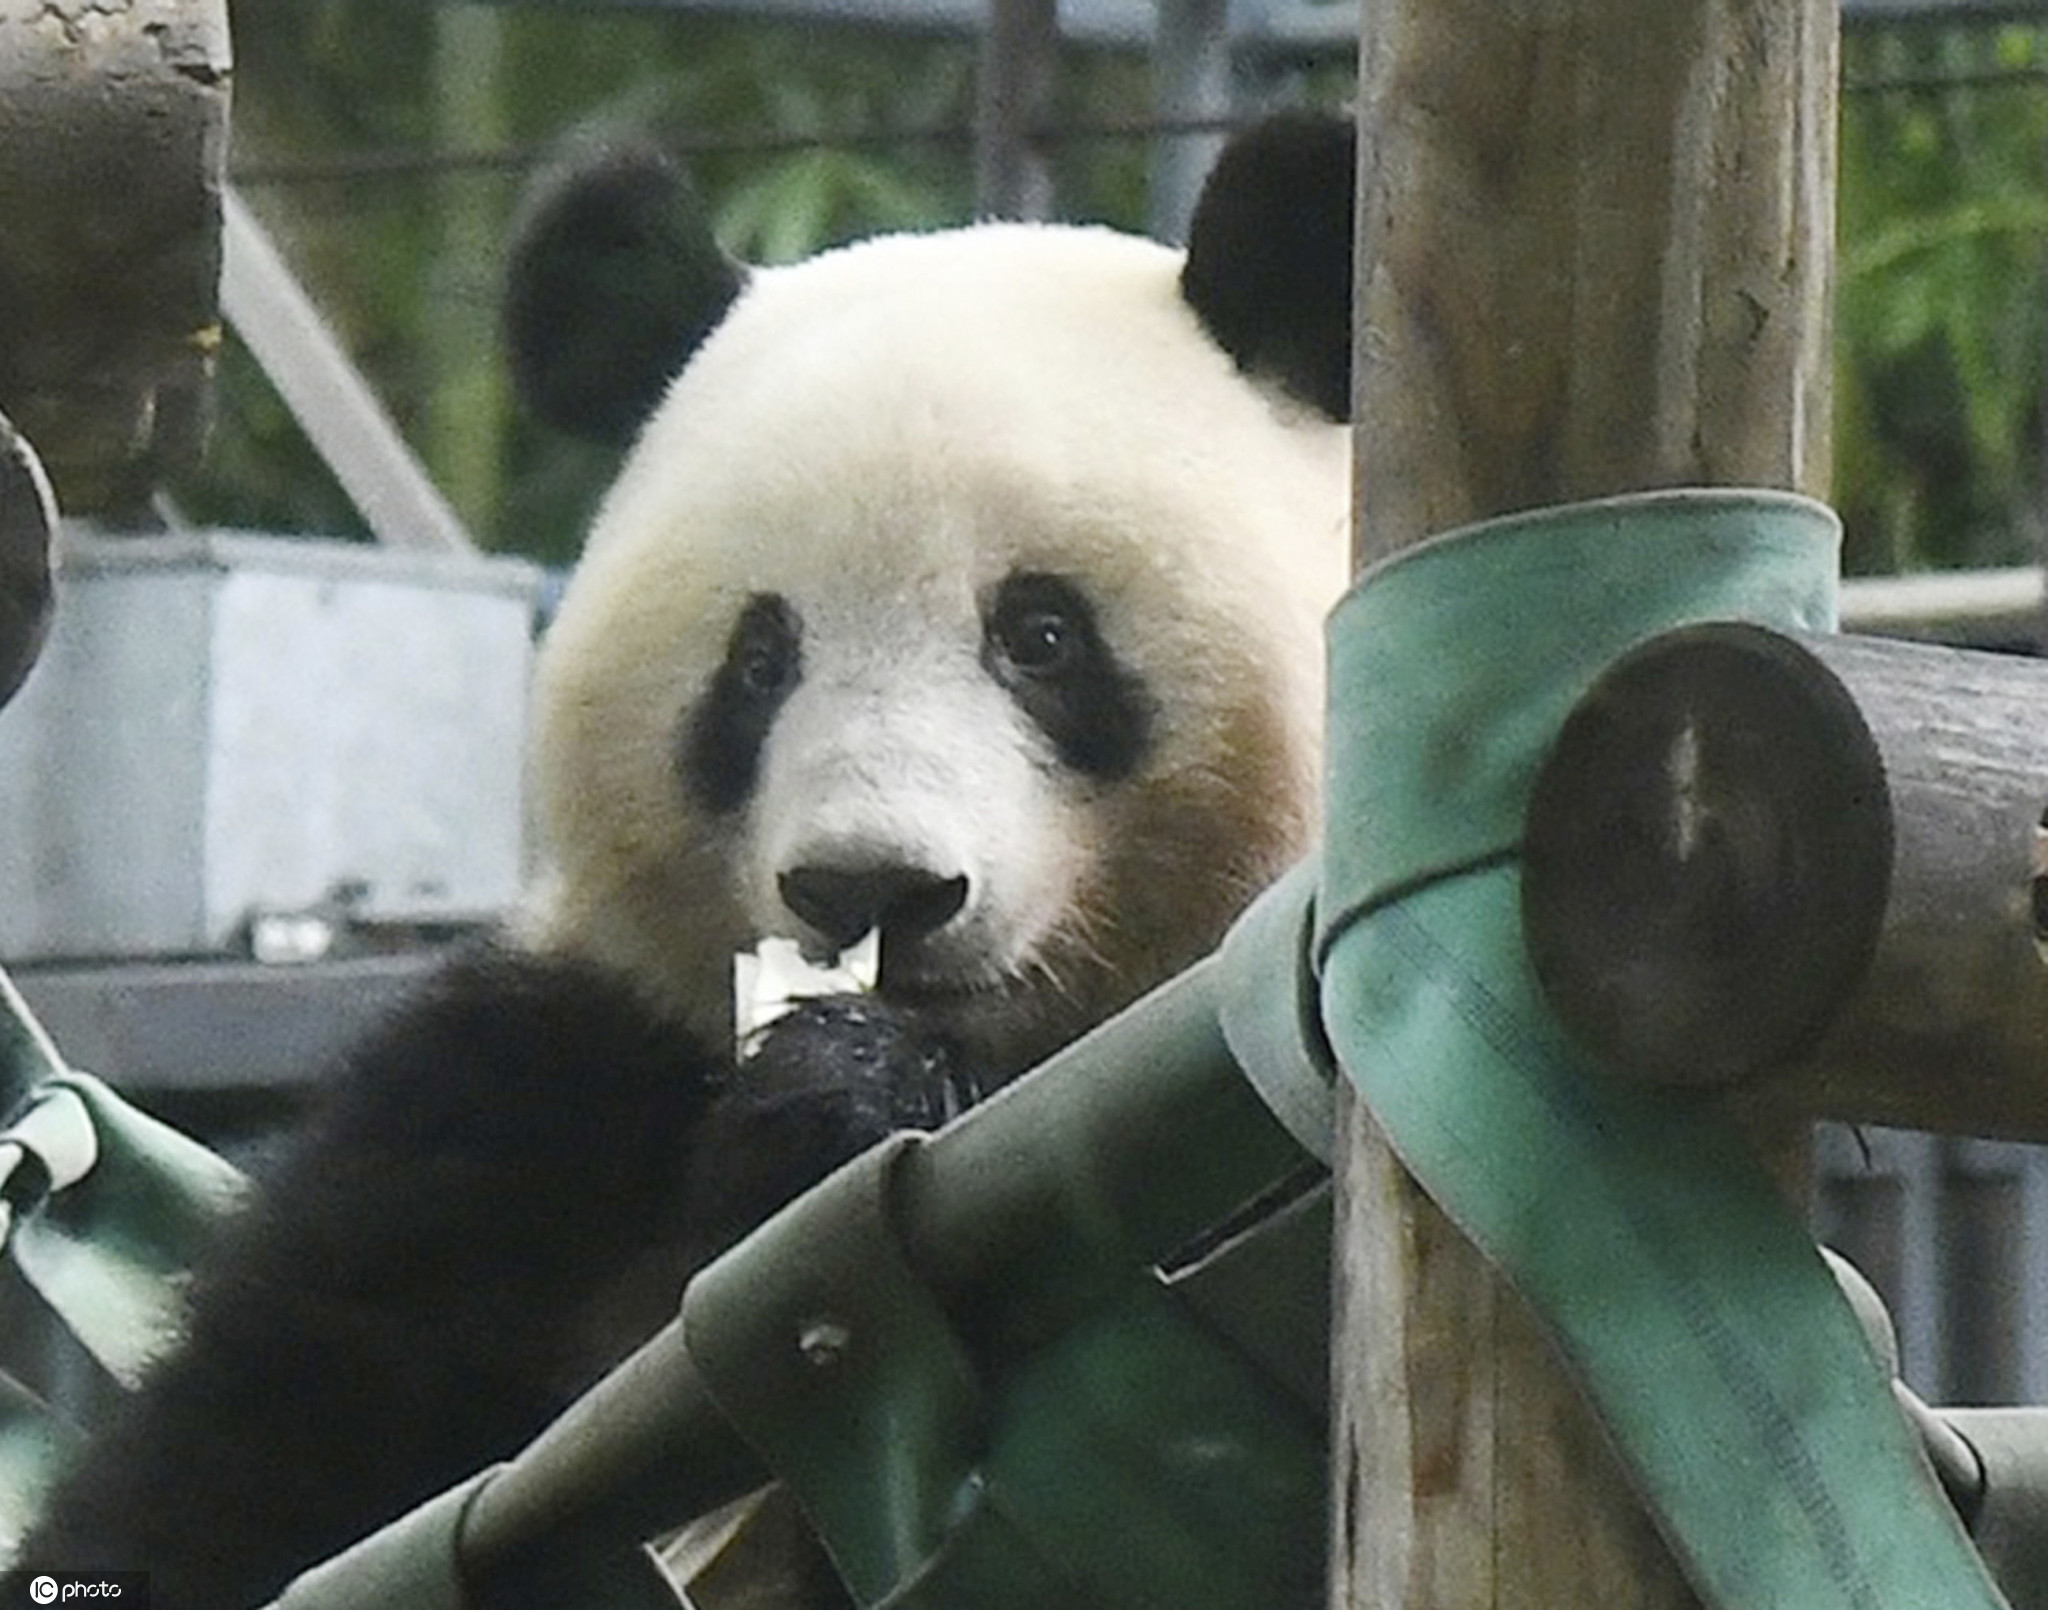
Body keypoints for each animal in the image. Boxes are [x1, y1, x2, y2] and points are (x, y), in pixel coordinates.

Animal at [16, 112, 1359, 1605]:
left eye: (1042, 635)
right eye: (759, 661)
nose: (872, 888)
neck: (1016, 1056)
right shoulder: (541, 1085)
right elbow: (273, 1446)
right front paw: (828, 1101)